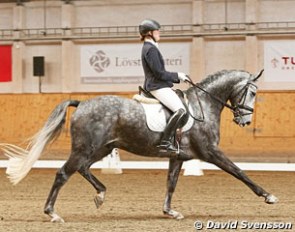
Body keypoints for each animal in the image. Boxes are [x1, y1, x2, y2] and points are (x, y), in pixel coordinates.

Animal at [0, 69, 278, 223]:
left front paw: (170, 212)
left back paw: (101, 194)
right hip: (86, 148)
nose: (245, 120)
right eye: (253, 93)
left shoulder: (178, 157)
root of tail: (82, 103)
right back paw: (53, 213)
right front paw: (268, 196)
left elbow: (171, 183)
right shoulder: (211, 152)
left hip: (100, 148)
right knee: (63, 173)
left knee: (82, 168)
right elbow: (239, 172)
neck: (204, 105)